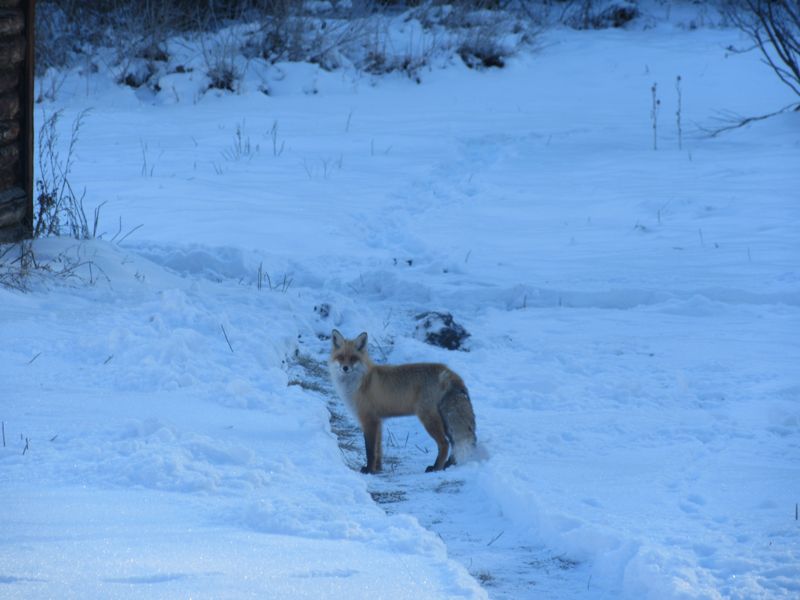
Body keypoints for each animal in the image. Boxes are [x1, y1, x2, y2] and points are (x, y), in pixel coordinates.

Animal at [328, 329, 477, 474]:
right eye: (340, 357)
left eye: (353, 358)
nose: (345, 368)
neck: (361, 382)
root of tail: (448, 371)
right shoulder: (378, 421)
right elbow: (378, 450)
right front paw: (378, 469)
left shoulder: (369, 420)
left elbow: (370, 450)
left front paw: (369, 469)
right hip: (445, 421)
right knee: (454, 444)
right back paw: (448, 465)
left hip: (428, 418)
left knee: (444, 444)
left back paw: (436, 468)